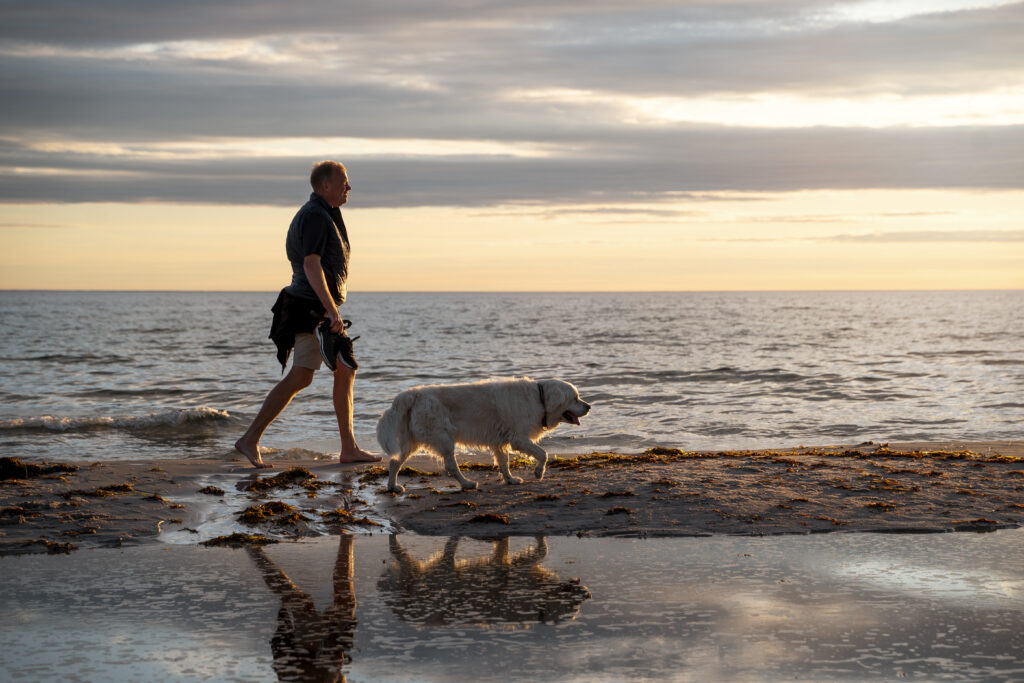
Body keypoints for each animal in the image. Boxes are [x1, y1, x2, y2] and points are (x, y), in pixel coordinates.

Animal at [376, 378, 589, 491]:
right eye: (575, 398)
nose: (589, 406)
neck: (539, 398)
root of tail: (412, 394)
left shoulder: (500, 441)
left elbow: (504, 463)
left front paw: (510, 479)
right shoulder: (518, 438)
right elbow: (543, 453)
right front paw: (538, 472)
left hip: (412, 442)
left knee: (394, 461)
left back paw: (393, 486)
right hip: (443, 437)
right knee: (450, 465)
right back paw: (467, 483)